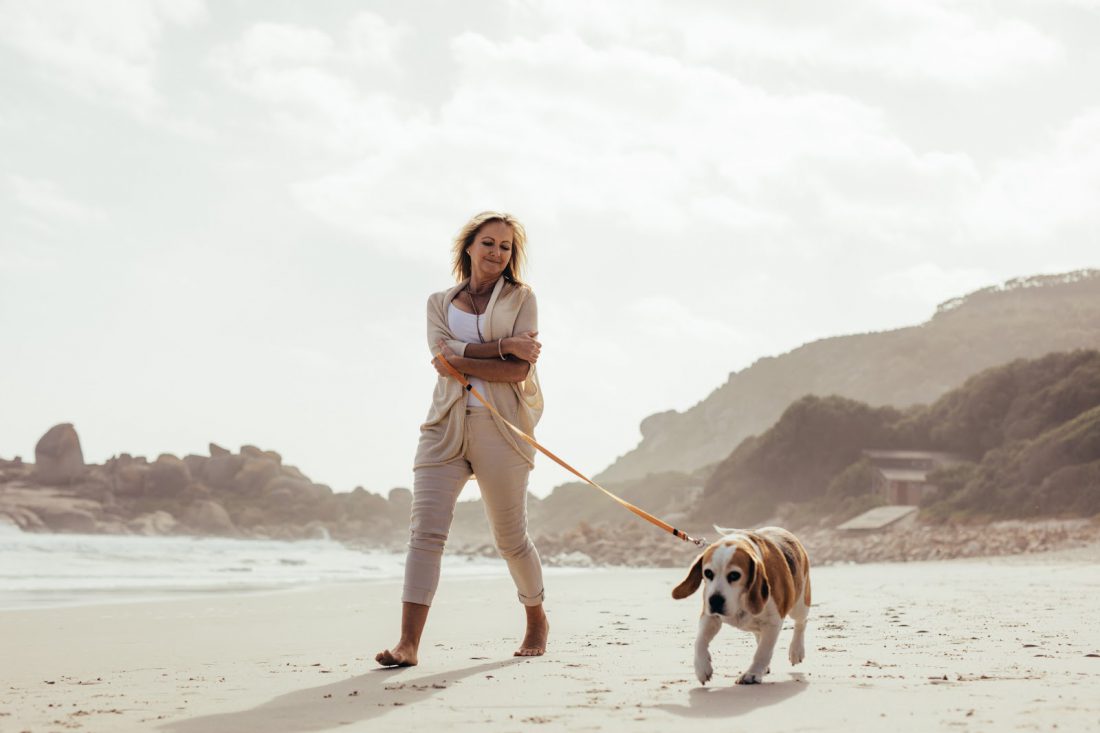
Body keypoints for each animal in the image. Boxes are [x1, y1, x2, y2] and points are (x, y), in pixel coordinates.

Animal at [664, 521, 814, 682]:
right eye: (708, 573)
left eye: (734, 575)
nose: (715, 601)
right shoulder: (710, 617)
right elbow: (699, 641)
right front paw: (702, 667)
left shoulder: (773, 622)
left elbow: (763, 651)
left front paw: (753, 673)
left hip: (799, 606)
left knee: (801, 622)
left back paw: (796, 651)